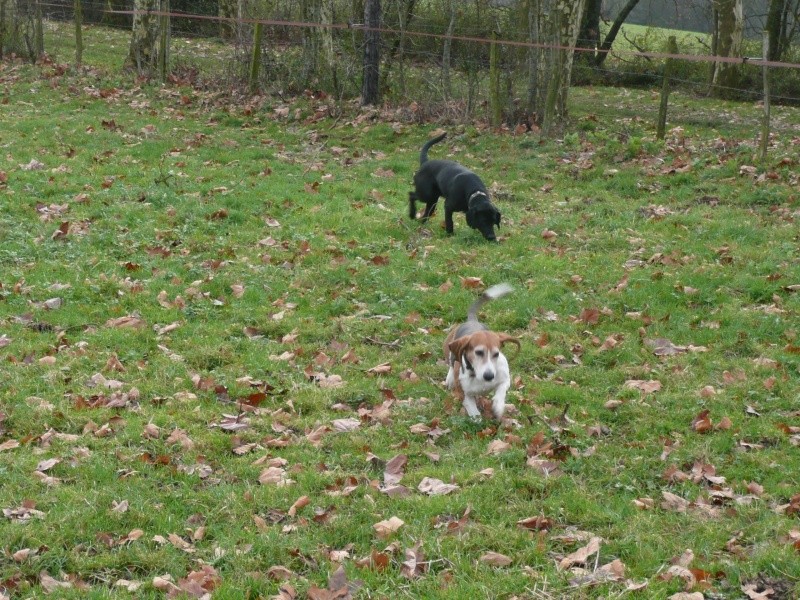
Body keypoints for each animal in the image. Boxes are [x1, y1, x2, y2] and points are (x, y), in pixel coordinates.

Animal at [444, 284, 520, 420]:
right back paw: (450, 379)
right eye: (478, 352)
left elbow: (501, 390)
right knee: (451, 362)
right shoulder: (464, 394)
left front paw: (498, 406)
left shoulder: (505, 379)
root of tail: (472, 320)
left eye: (496, 354)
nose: (489, 376)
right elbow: (472, 410)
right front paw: (477, 418)